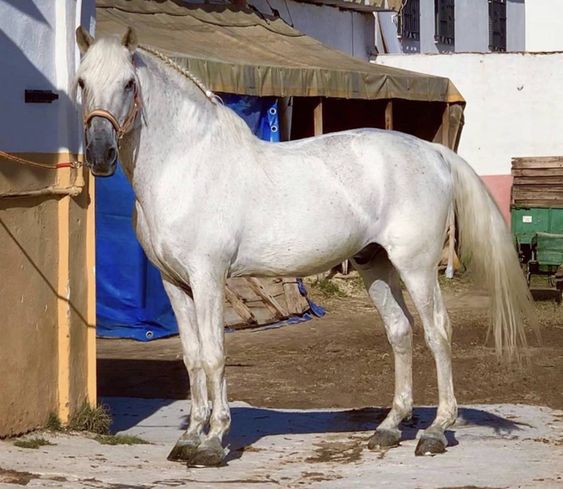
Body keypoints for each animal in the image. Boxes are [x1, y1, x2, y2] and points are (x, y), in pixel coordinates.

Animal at [76, 26, 536, 466]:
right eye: (81, 81)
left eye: (129, 83)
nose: (100, 153)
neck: (187, 164)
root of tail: (433, 151)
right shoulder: (174, 283)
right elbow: (191, 357)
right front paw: (189, 438)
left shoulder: (208, 277)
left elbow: (213, 355)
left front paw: (213, 442)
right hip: (376, 265)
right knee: (400, 331)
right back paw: (389, 427)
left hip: (417, 267)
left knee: (438, 331)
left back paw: (436, 432)